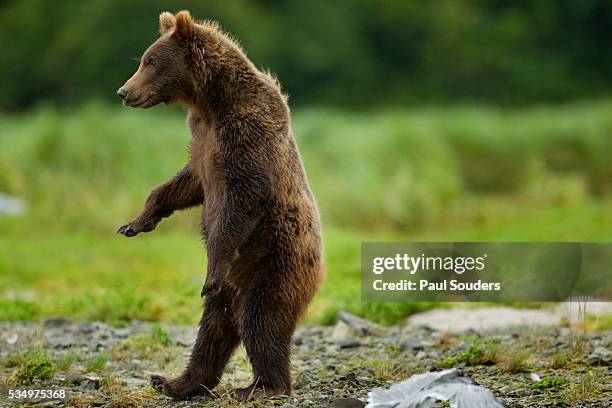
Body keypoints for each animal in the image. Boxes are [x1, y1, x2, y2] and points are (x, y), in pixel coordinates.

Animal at [116, 10, 326, 402]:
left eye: (150, 61)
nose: (124, 92)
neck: (209, 101)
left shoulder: (247, 130)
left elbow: (244, 196)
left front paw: (211, 264)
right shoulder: (202, 140)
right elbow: (186, 183)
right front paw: (135, 222)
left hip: (276, 261)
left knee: (261, 320)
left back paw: (261, 386)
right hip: (231, 290)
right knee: (213, 329)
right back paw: (175, 382)